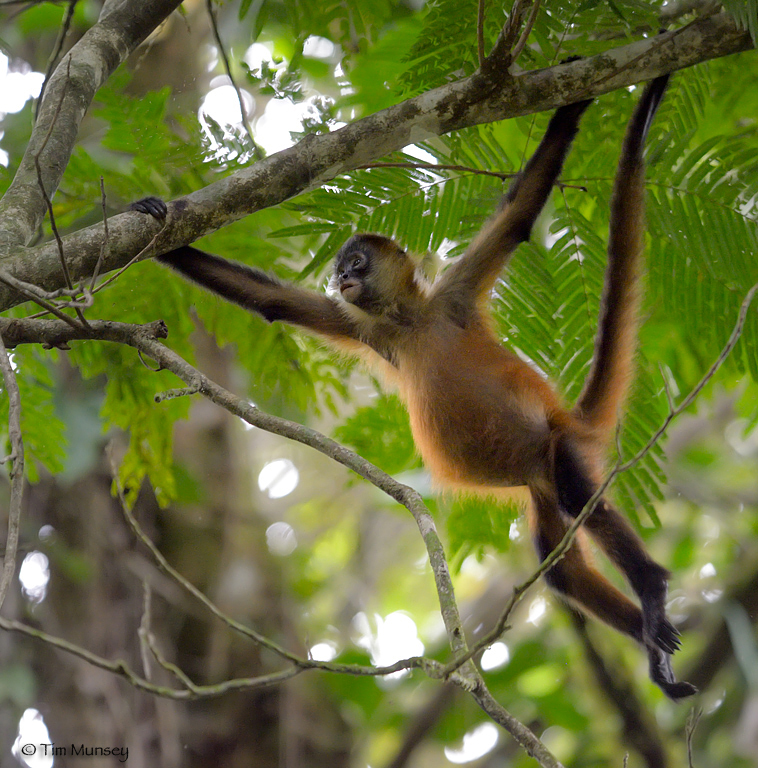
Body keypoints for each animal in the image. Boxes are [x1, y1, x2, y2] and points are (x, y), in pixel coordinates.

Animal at [134, 75, 696, 700]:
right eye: (340, 271)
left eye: (355, 262)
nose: (342, 278)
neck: (409, 321)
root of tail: (567, 423)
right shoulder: (365, 327)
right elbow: (272, 302)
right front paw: (158, 223)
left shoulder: (453, 294)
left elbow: (522, 209)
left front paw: (572, 99)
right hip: (539, 483)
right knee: (563, 569)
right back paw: (651, 644)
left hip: (558, 449)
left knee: (579, 497)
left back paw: (652, 589)